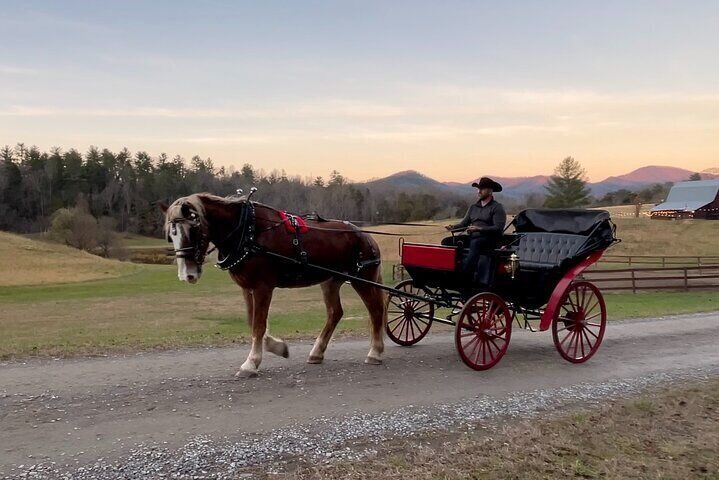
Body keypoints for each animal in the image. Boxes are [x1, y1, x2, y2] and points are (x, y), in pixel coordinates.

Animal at [162, 193, 388, 376]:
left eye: (193, 229)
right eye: (171, 234)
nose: (187, 275)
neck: (249, 231)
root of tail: (365, 235)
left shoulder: (263, 287)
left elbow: (258, 325)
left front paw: (251, 363)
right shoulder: (247, 288)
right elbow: (252, 321)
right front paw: (276, 347)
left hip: (362, 280)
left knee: (376, 310)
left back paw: (375, 352)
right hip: (330, 282)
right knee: (335, 313)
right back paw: (317, 353)